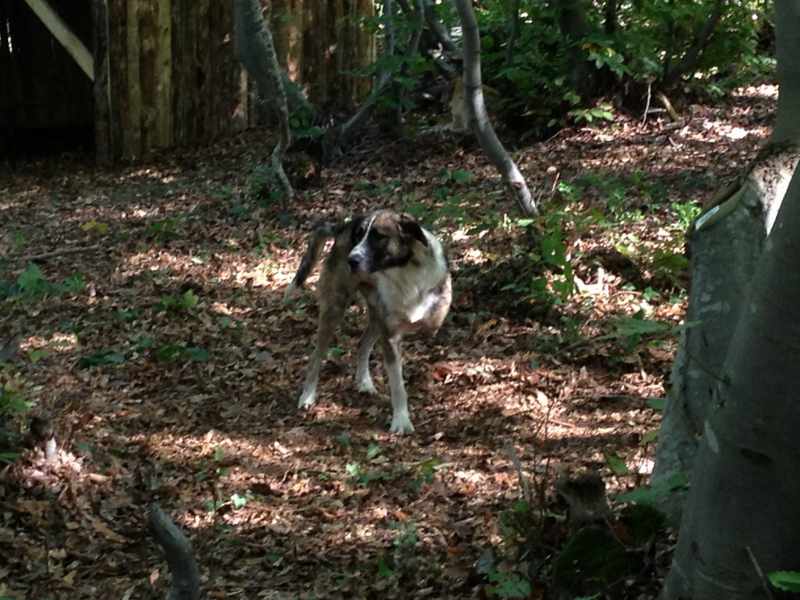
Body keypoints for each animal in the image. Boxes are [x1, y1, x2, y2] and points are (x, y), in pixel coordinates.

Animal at [286, 209, 450, 434]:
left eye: (378, 236)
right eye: (359, 235)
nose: (351, 260)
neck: (405, 271)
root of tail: (344, 225)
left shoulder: (429, 317)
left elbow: (430, 324)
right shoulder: (390, 337)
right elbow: (398, 386)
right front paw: (401, 421)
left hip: (375, 317)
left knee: (363, 342)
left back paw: (363, 381)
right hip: (334, 310)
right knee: (316, 357)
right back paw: (308, 396)